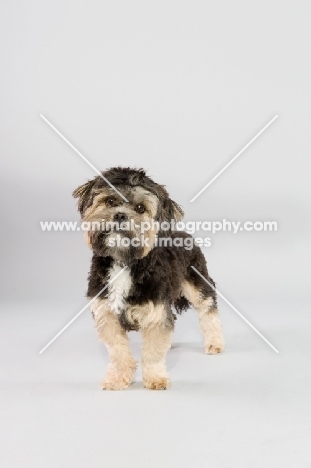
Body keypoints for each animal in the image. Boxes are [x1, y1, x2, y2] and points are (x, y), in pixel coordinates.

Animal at [73, 166, 224, 390]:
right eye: (110, 201)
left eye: (140, 208)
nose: (120, 215)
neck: (124, 262)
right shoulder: (106, 313)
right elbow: (117, 349)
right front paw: (118, 378)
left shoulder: (155, 311)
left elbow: (153, 352)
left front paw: (155, 378)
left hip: (198, 283)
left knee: (208, 309)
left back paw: (215, 342)